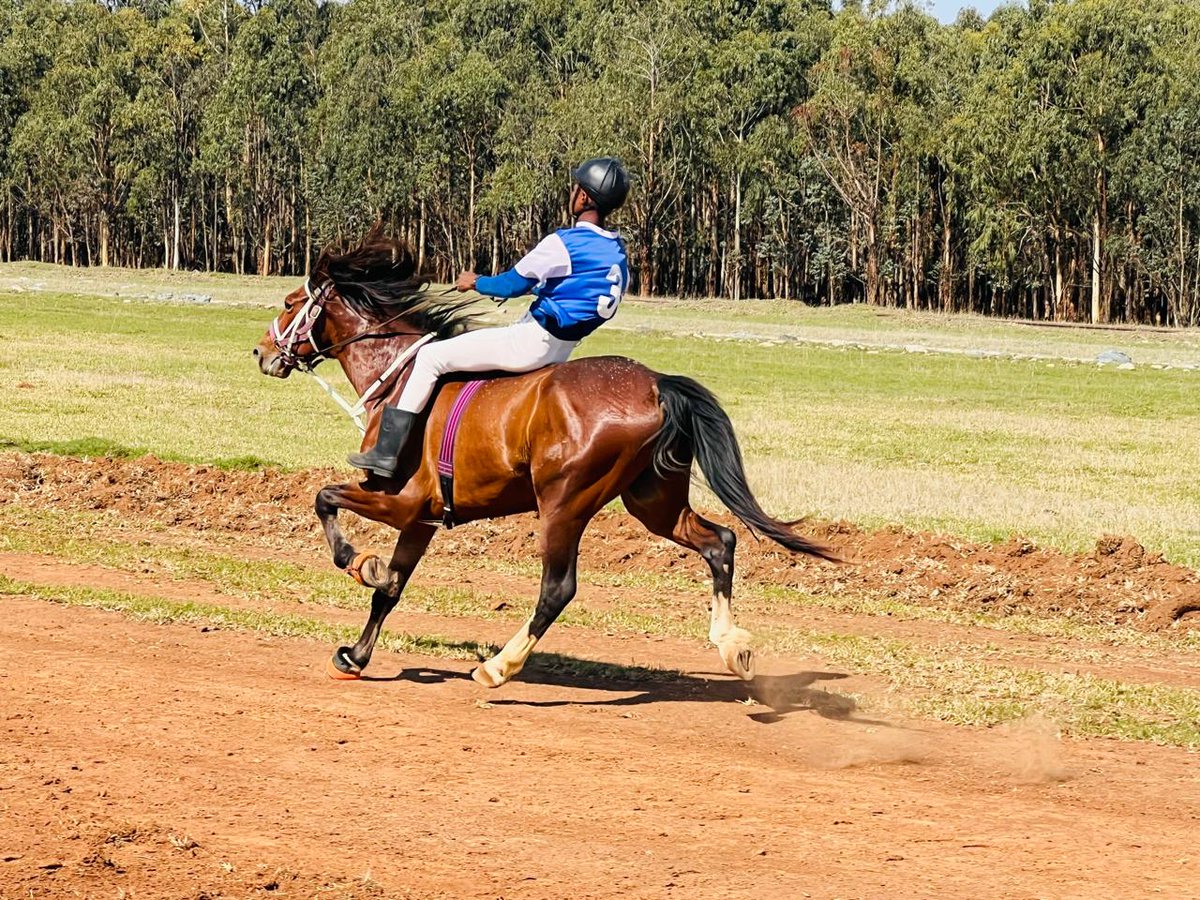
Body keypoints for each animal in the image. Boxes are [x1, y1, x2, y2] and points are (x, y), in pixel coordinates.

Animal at [253, 230, 840, 688]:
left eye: (289, 302)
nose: (261, 352)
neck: (398, 373)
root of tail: (655, 383)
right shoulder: (423, 520)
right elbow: (391, 590)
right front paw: (355, 654)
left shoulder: (401, 503)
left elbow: (325, 501)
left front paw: (359, 561)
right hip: (653, 502)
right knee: (721, 542)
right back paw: (732, 645)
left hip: (565, 506)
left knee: (558, 588)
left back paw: (499, 666)